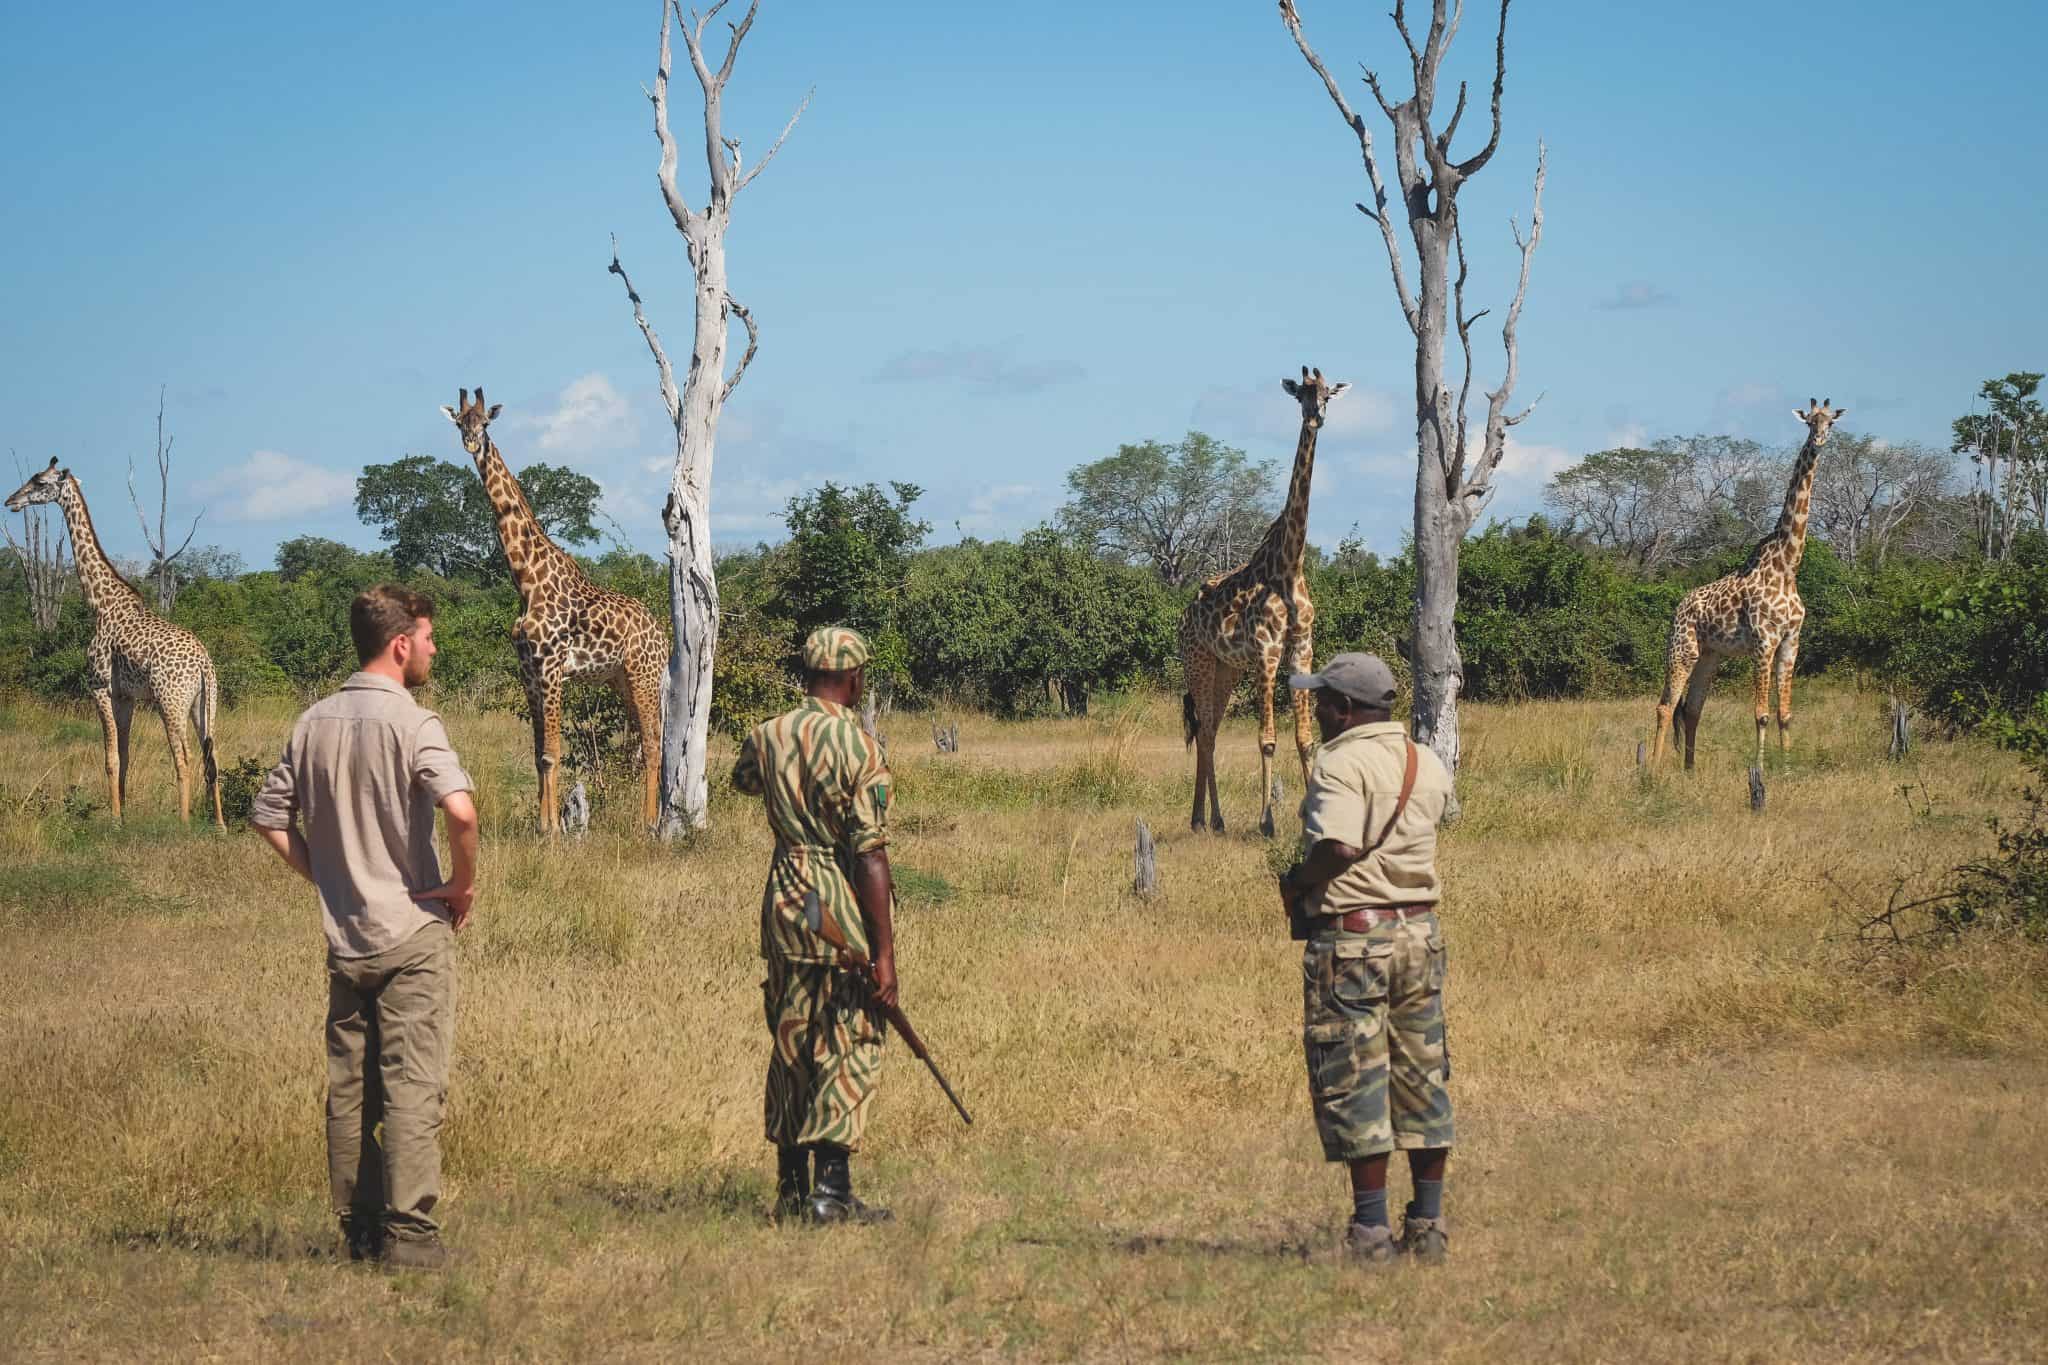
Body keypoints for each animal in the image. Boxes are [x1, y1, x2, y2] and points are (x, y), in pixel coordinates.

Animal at [3, 458, 222, 826]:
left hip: (170, 701)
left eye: (39, 482)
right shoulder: (126, 696)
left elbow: (110, 757)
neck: (101, 604)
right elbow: (125, 753)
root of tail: (204, 664)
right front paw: (124, 814)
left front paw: (115, 820)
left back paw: (184, 821)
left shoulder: (100, 686)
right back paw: (218, 824)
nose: (11, 501)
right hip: (204, 704)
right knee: (212, 754)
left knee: (184, 755)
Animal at [442, 384, 671, 834]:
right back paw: (648, 818)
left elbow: (551, 751)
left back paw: (647, 824)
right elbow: (538, 752)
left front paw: (551, 829)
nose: (471, 442)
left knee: (654, 744)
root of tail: (662, 635)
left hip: (645, 676)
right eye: (460, 422)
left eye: (486, 422)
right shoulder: (528, 669)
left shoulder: (550, 667)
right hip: (621, 680)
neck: (526, 578)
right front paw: (543, 823)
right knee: (643, 743)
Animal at [1179, 362, 1351, 834]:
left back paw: (1211, 819)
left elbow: (1305, 738)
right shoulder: (1266, 652)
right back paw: (1203, 819)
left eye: (1327, 394)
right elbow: (1268, 739)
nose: (1315, 418)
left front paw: (1313, 818)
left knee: (1210, 729)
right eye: (1301, 395)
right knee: (1204, 729)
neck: (1289, 566)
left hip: (1226, 667)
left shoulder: (1301, 649)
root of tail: (1183, 615)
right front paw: (1267, 823)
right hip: (1198, 660)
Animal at [1654, 401, 1851, 773]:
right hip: (1682, 648)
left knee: (1691, 709)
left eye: (1830, 422)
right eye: (1809, 421)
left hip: (1710, 655)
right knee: (1665, 706)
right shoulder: (1763, 642)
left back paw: (1690, 769)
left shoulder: (1790, 642)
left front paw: (1786, 770)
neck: (1788, 566)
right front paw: (1759, 769)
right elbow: (1761, 714)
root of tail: (1678, 608)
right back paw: (1651, 771)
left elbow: (1785, 714)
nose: (1819, 440)